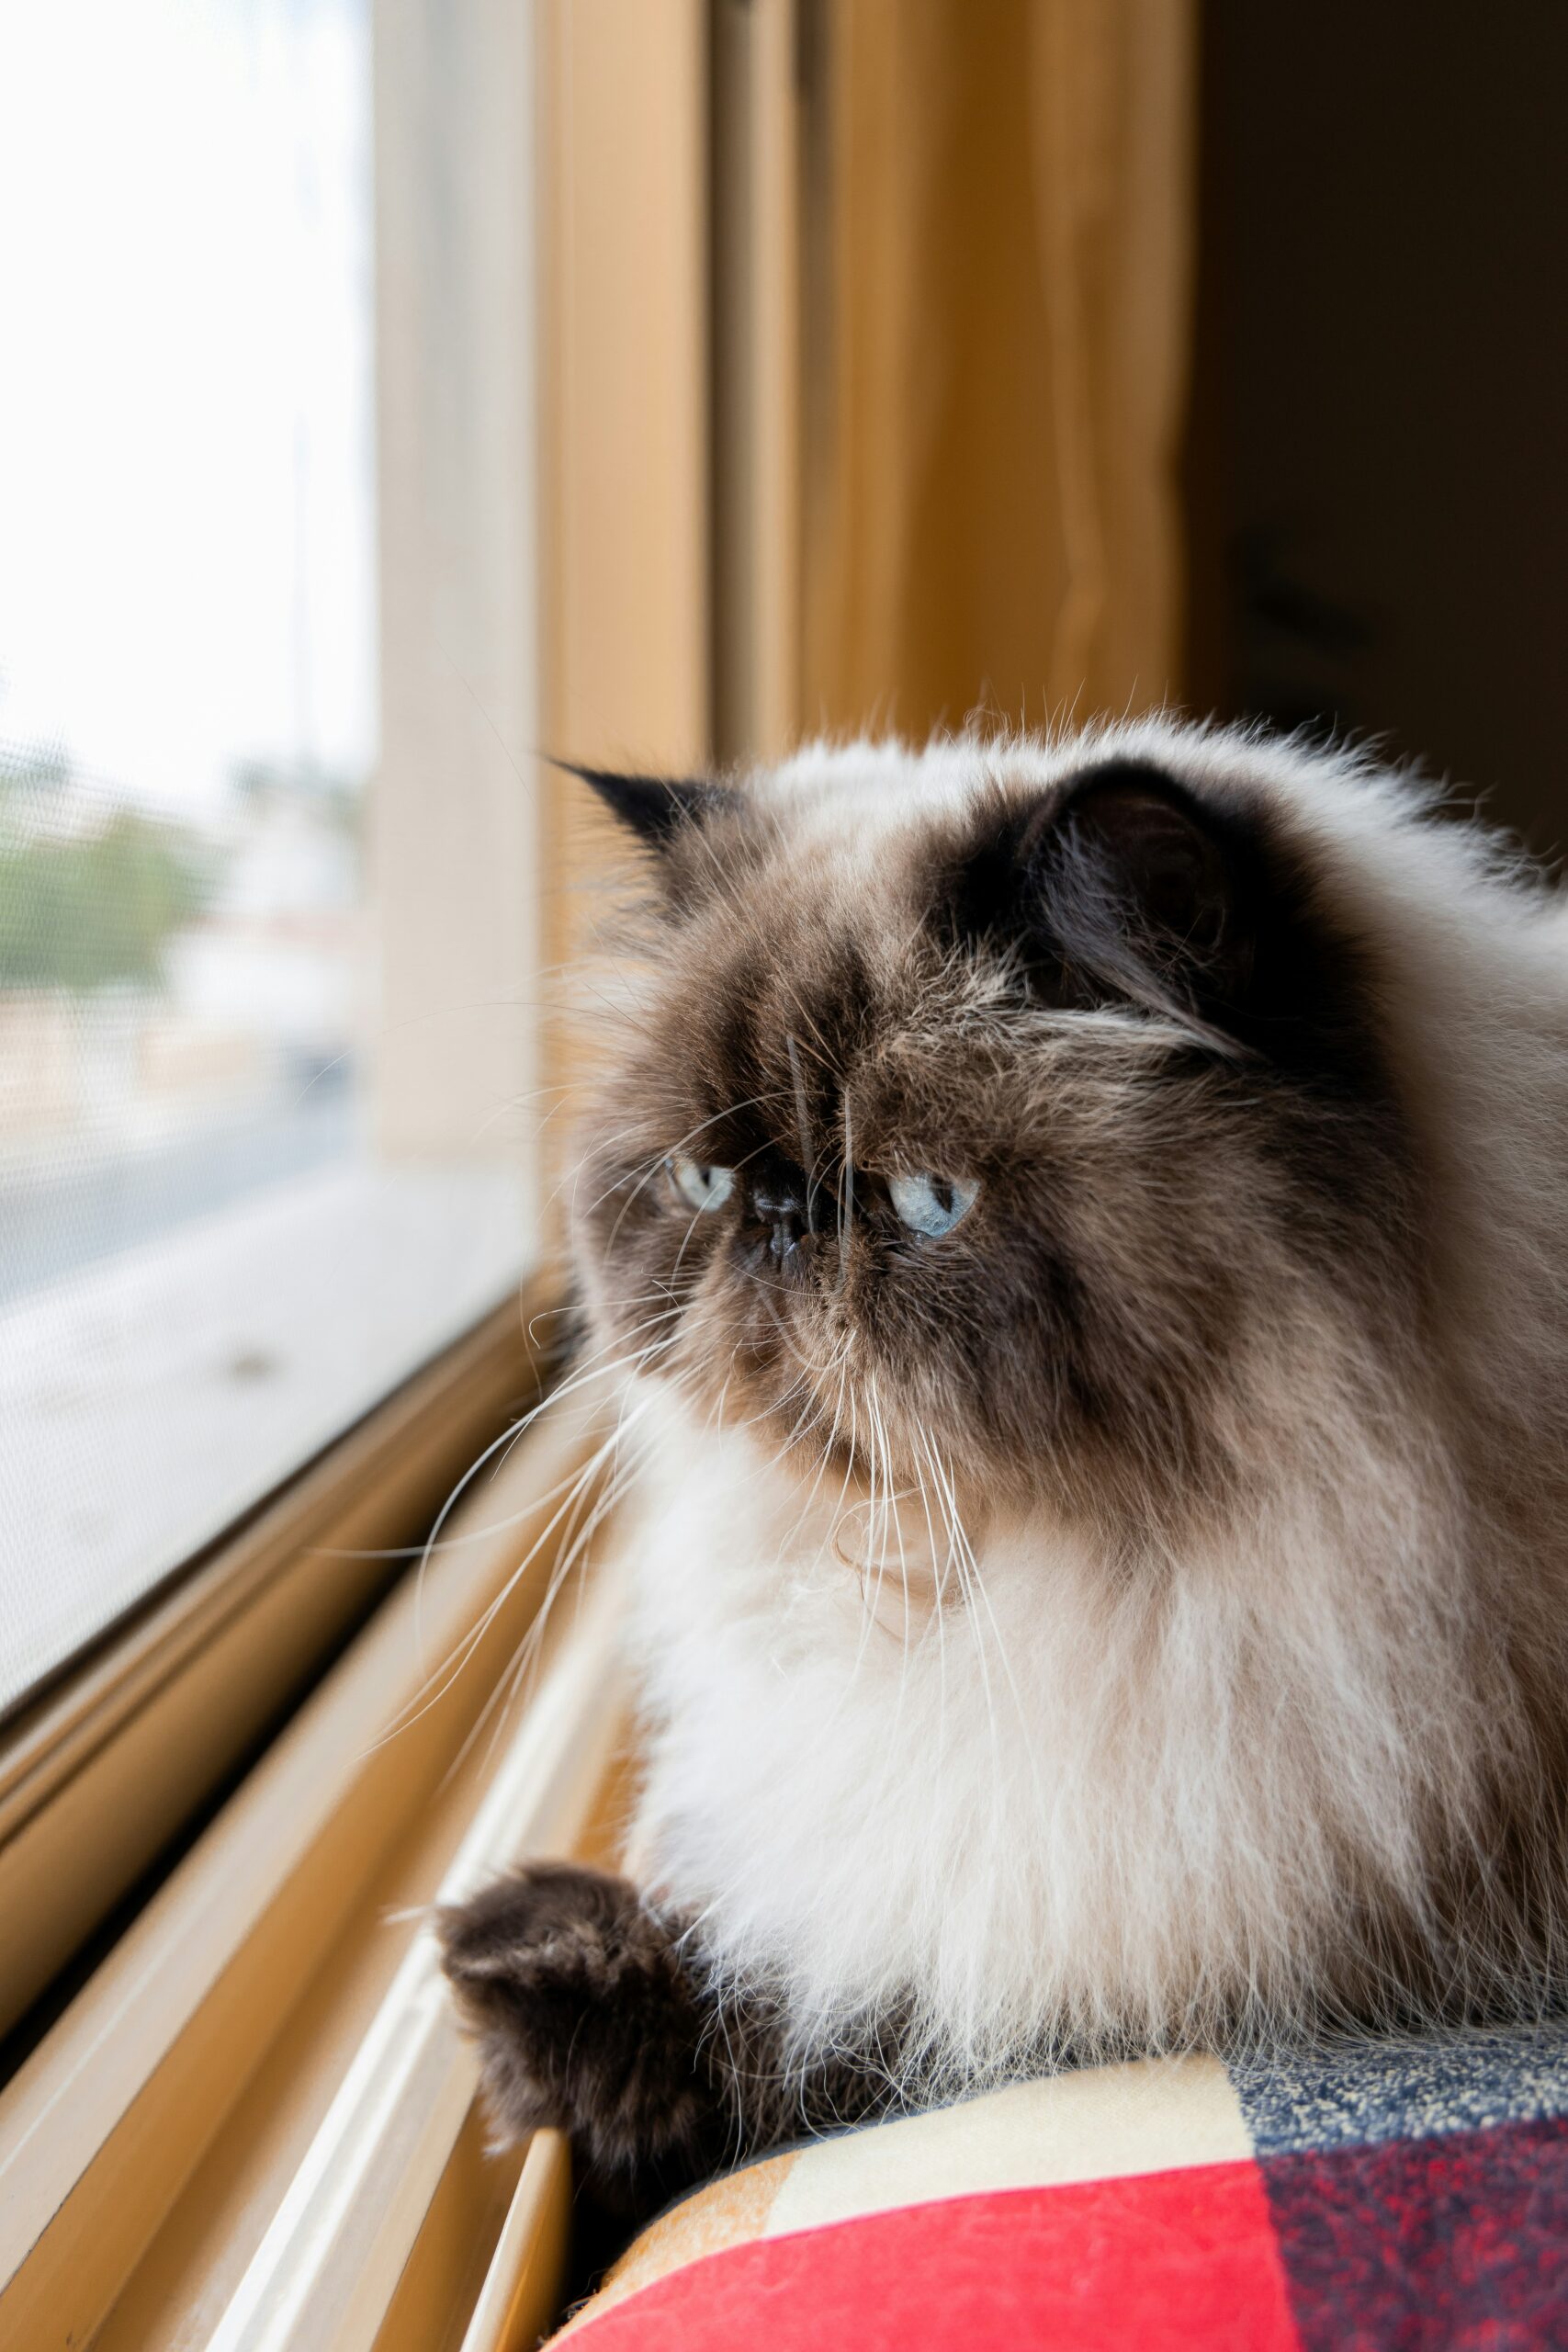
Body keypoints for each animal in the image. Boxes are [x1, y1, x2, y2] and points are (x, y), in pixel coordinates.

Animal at [434, 724, 1568, 2211]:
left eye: (928, 1204)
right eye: (701, 1184)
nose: (780, 1221)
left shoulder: (1217, 1904)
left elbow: (835, 2014)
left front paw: (518, 1967)